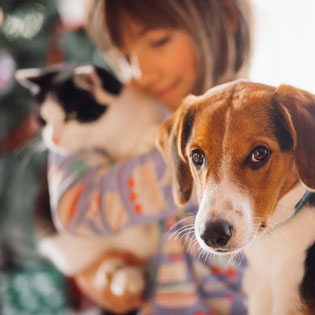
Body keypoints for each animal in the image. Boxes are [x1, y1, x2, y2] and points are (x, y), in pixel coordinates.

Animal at [15, 63, 164, 302]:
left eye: (71, 115)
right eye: (43, 120)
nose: (53, 139)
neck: (111, 134)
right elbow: (118, 166)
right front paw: (146, 139)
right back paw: (118, 271)